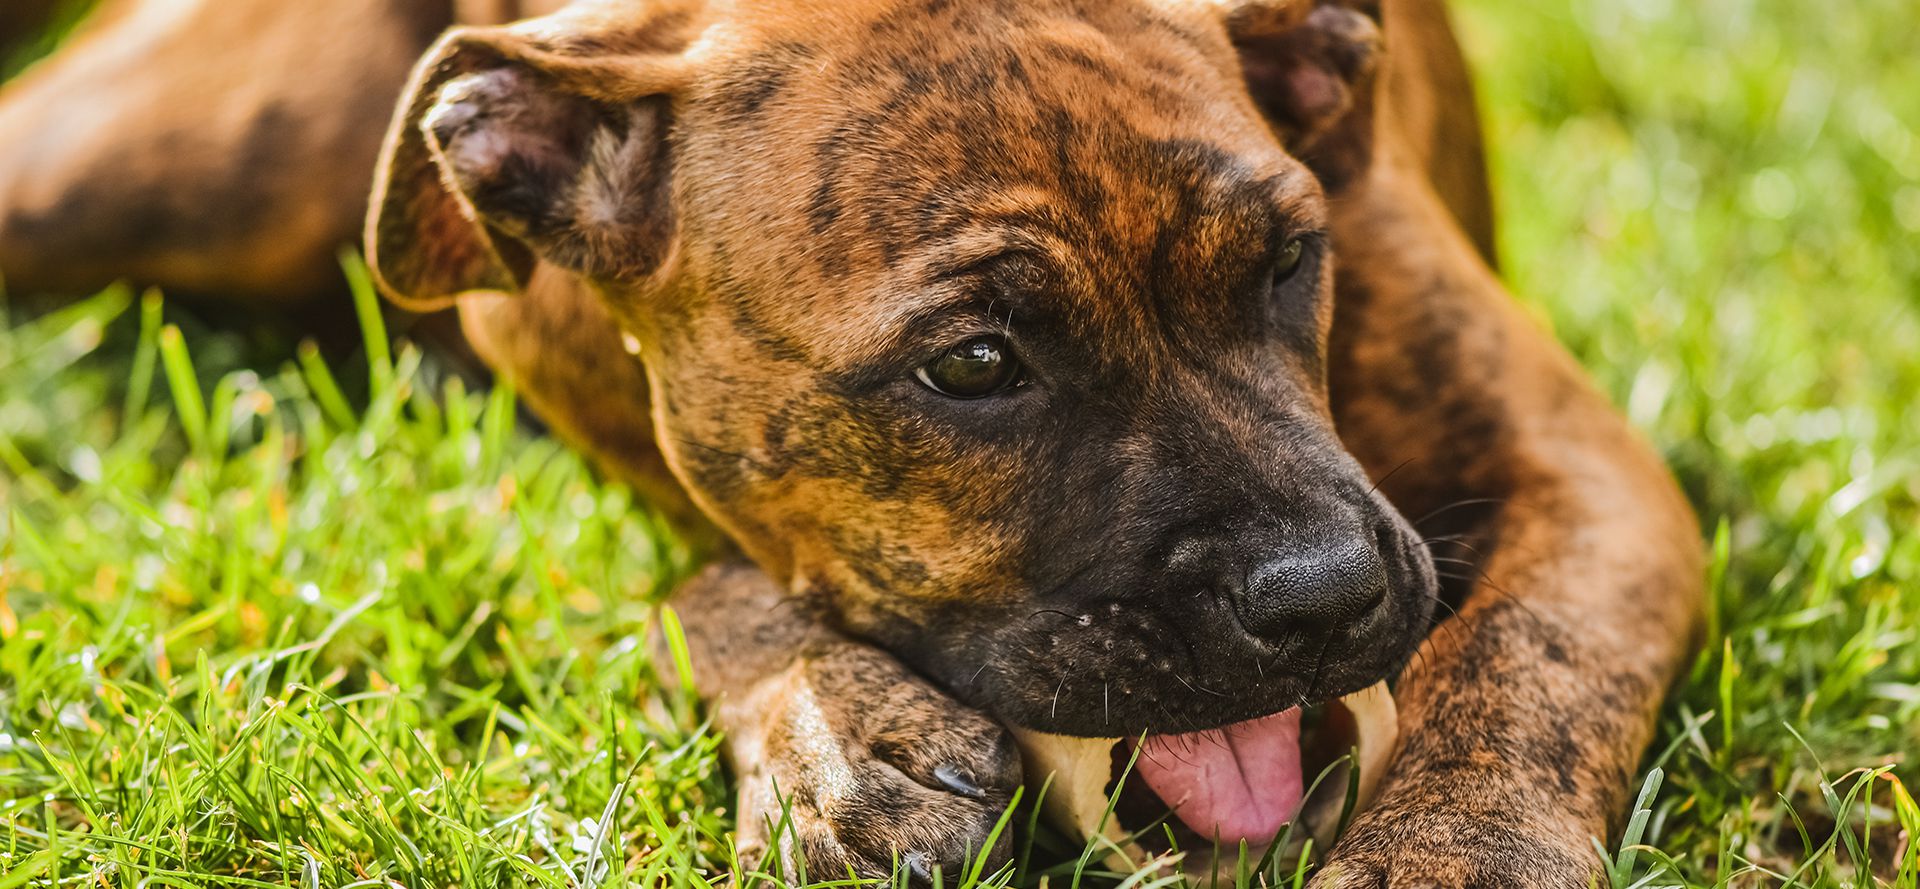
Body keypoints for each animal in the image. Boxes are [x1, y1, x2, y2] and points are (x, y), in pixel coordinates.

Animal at [3, 3, 1712, 887]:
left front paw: (1451, 856)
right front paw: (840, 734)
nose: (1323, 593)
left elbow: (1520, 668)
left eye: (1291, 261)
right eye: (972, 366)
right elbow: (720, 588)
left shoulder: (1580, 475)